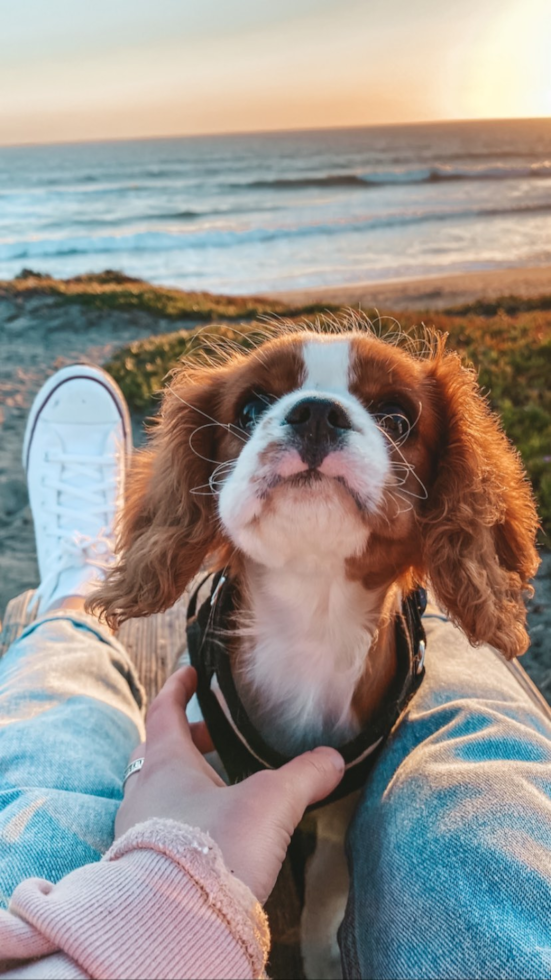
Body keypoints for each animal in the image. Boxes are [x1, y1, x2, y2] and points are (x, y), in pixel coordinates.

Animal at [90, 320, 540, 972]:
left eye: (397, 418)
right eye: (250, 408)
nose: (317, 414)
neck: (311, 617)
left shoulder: (340, 804)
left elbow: (327, 885)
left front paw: (323, 956)